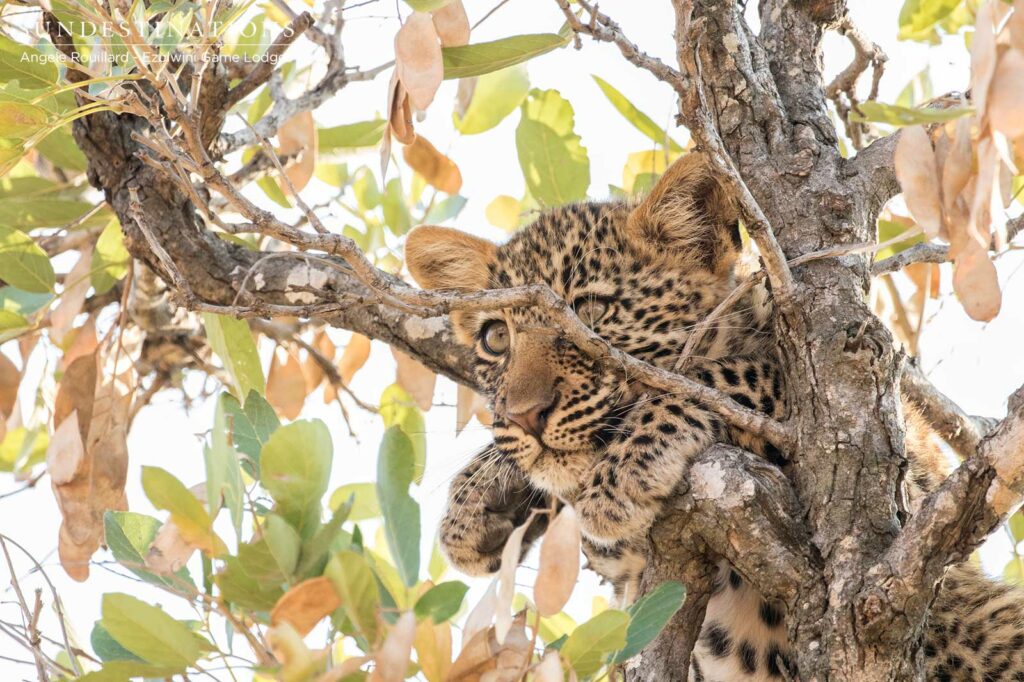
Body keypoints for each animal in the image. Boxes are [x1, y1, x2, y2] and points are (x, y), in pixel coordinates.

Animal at [405, 152, 1024, 681]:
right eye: (495, 339)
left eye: (592, 312)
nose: (527, 414)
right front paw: (473, 508)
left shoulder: (880, 432)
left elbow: (719, 377)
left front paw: (625, 471)